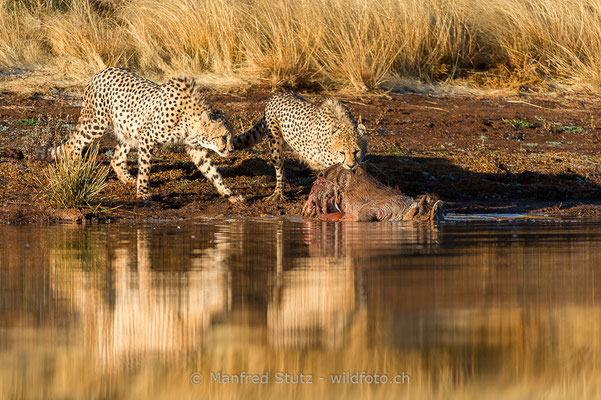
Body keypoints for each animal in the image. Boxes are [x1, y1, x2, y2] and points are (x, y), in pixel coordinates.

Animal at [38, 67, 244, 203]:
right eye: (223, 137)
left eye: (230, 136)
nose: (231, 149)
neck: (189, 121)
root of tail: (102, 71)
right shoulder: (147, 137)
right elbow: (145, 167)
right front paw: (144, 192)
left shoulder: (195, 148)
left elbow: (213, 172)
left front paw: (230, 194)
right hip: (97, 122)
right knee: (74, 144)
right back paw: (73, 168)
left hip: (128, 130)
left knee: (116, 158)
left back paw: (128, 179)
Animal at [233, 92, 366, 202]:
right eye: (342, 153)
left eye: (356, 151)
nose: (351, 165)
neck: (343, 124)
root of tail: (276, 96)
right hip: (275, 145)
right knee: (279, 169)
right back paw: (278, 193)